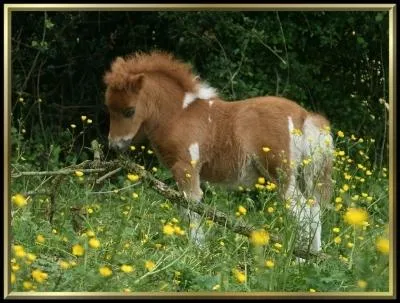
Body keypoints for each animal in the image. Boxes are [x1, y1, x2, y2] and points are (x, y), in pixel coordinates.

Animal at [104, 50, 334, 254]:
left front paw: (197, 252)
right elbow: (184, 208)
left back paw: (300, 259)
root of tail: (303, 115)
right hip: (301, 175)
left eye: (129, 111)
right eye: (108, 108)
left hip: (281, 174)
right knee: (313, 209)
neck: (179, 115)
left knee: (302, 211)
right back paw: (311, 258)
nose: (115, 145)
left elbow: (192, 207)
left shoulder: (186, 167)